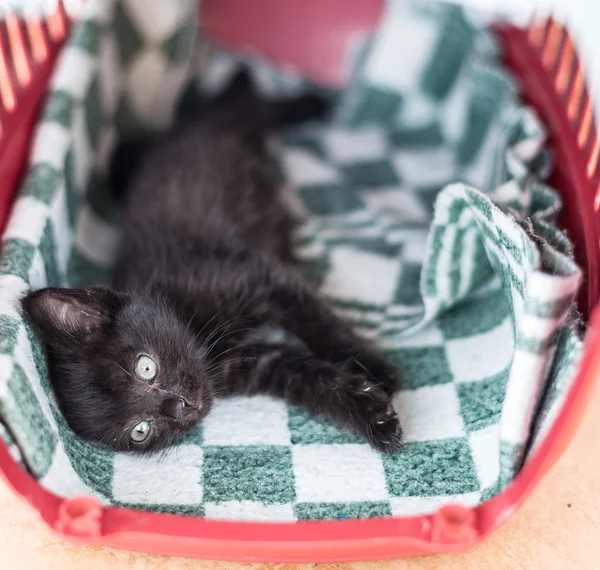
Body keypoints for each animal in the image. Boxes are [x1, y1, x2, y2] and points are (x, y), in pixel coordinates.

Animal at [22, 70, 404, 452]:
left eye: (146, 367)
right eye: (141, 430)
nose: (180, 407)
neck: (193, 325)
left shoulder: (260, 276)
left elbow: (320, 325)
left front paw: (375, 369)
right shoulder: (252, 364)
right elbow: (310, 376)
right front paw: (373, 413)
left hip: (225, 124)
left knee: (247, 105)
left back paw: (307, 102)